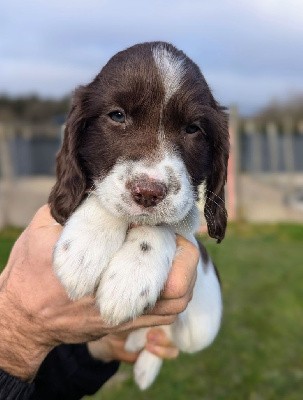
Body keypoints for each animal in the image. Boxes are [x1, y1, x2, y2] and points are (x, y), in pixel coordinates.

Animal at [48, 42, 229, 390]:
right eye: (117, 116)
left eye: (192, 129)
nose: (148, 192)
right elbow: (105, 197)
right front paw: (85, 245)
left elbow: (170, 224)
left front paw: (132, 275)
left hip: (198, 331)